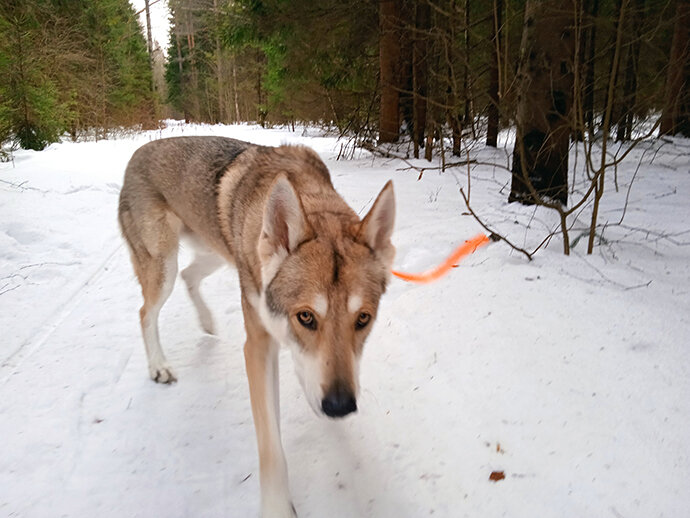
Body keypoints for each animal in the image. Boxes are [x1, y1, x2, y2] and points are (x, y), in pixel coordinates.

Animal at [119, 136, 392, 516]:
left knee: (190, 276)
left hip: (214, 255)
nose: (340, 406)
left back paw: (207, 322)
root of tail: (137, 151)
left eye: (363, 319)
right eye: (306, 317)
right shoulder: (259, 347)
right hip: (164, 269)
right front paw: (277, 506)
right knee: (146, 311)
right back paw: (159, 366)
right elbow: (271, 447)